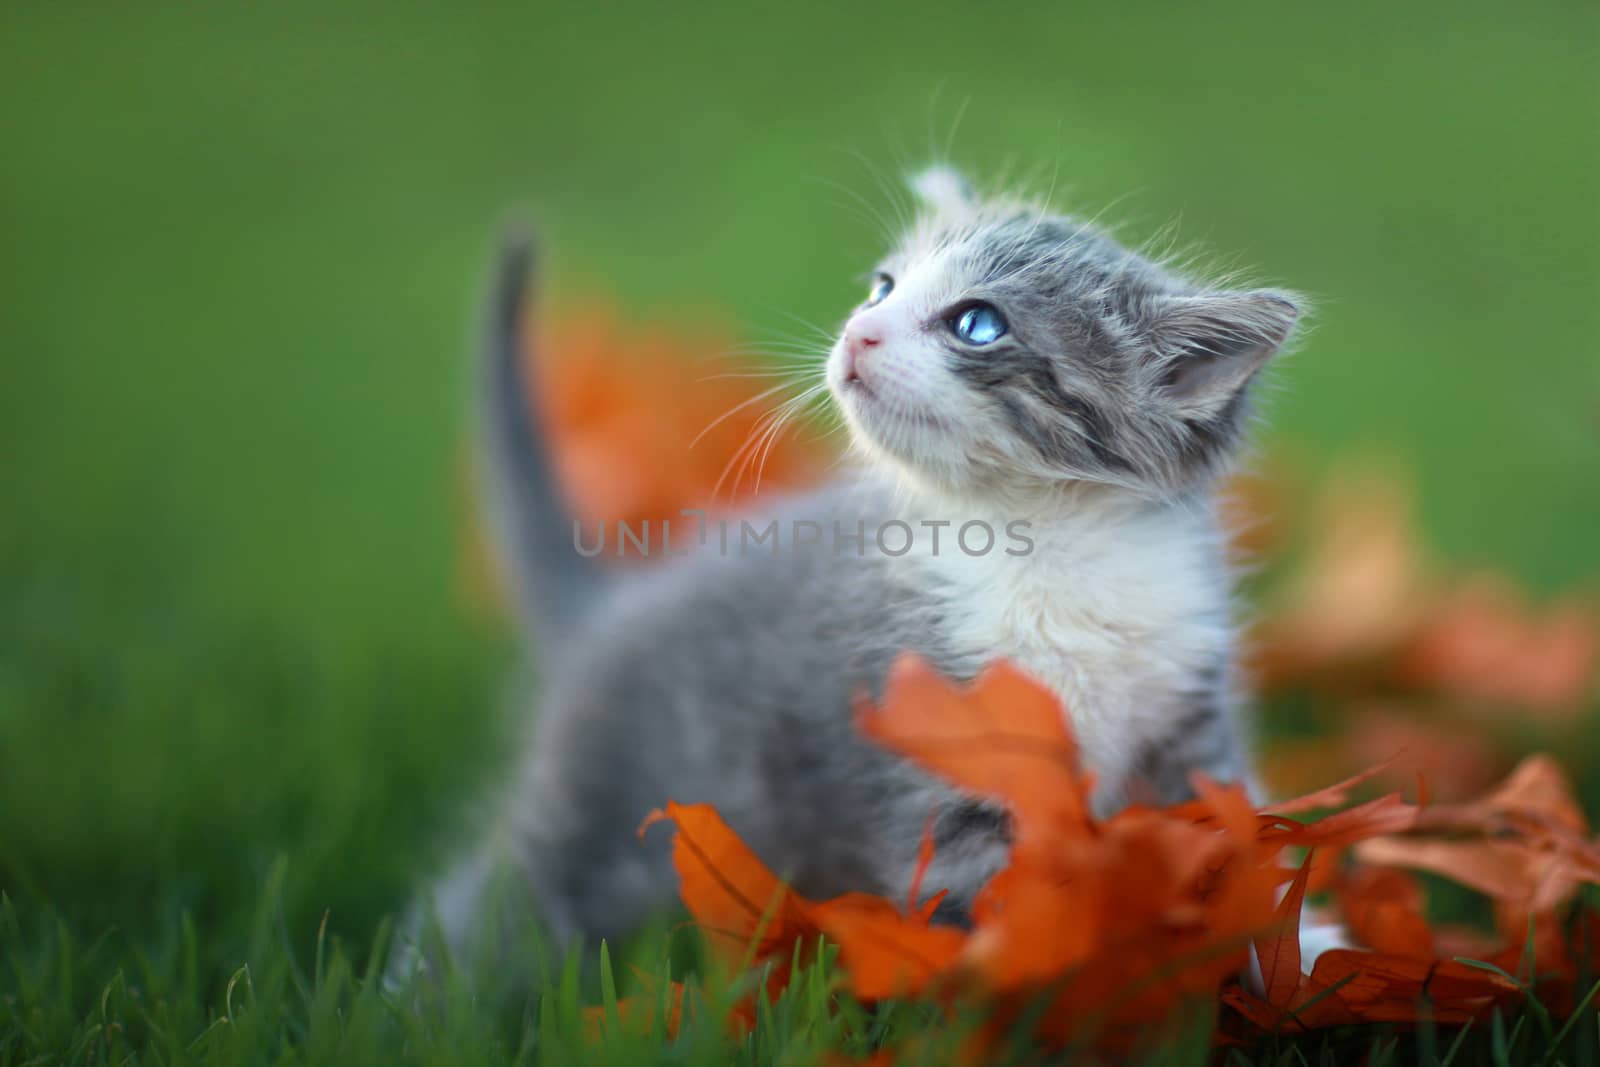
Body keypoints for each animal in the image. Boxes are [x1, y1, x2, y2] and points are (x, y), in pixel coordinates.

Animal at [406, 168, 1292, 966]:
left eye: (977, 323)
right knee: (492, 909)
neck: (1048, 543)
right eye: (883, 287)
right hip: (593, 805)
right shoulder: (941, 747)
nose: (860, 332)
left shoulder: (1189, 712)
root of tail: (609, 606)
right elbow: (986, 912)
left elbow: (1227, 849)